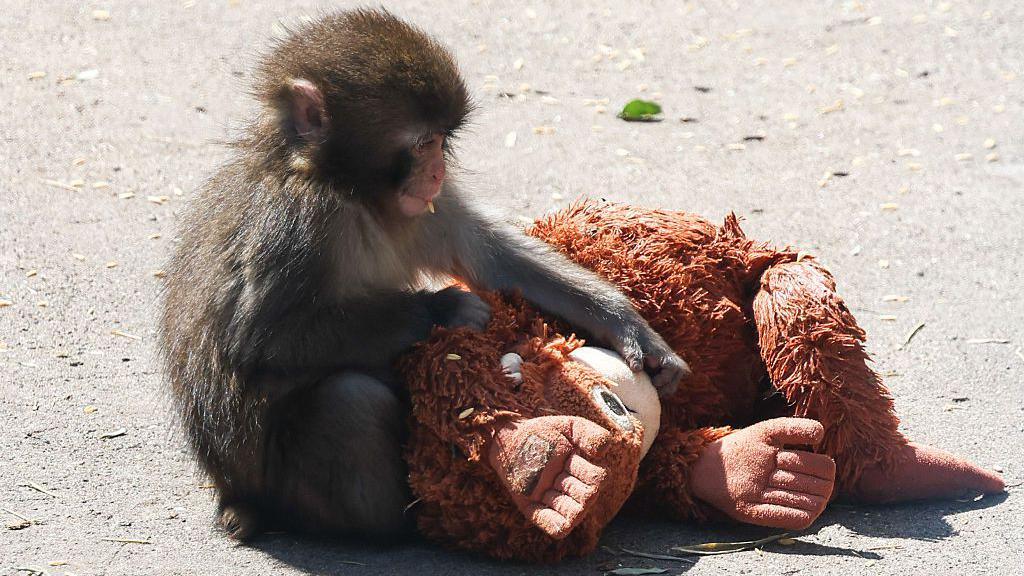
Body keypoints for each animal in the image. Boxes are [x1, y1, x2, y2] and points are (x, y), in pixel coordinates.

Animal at [159, 9, 690, 542]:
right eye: (422, 142)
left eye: (442, 142)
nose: (437, 171)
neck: (351, 193)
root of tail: (231, 488)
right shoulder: (298, 223)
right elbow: (260, 341)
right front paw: (446, 307)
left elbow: (491, 257)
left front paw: (631, 329)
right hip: (279, 482)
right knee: (349, 400)